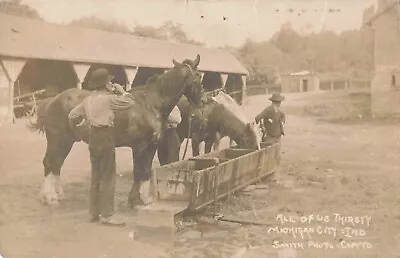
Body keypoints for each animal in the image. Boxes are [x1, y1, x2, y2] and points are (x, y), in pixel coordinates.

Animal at [27, 55, 206, 207]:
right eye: (198, 75)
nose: (203, 100)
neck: (150, 103)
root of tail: (52, 101)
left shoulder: (151, 145)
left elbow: (145, 171)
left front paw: (139, 199)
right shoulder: (140, 145)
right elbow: (139, 170)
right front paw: (138, 200)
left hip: (67, 141)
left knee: (57, 164)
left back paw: (57, 195)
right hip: (58, 140)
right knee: (50, 163)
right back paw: (49, 197)